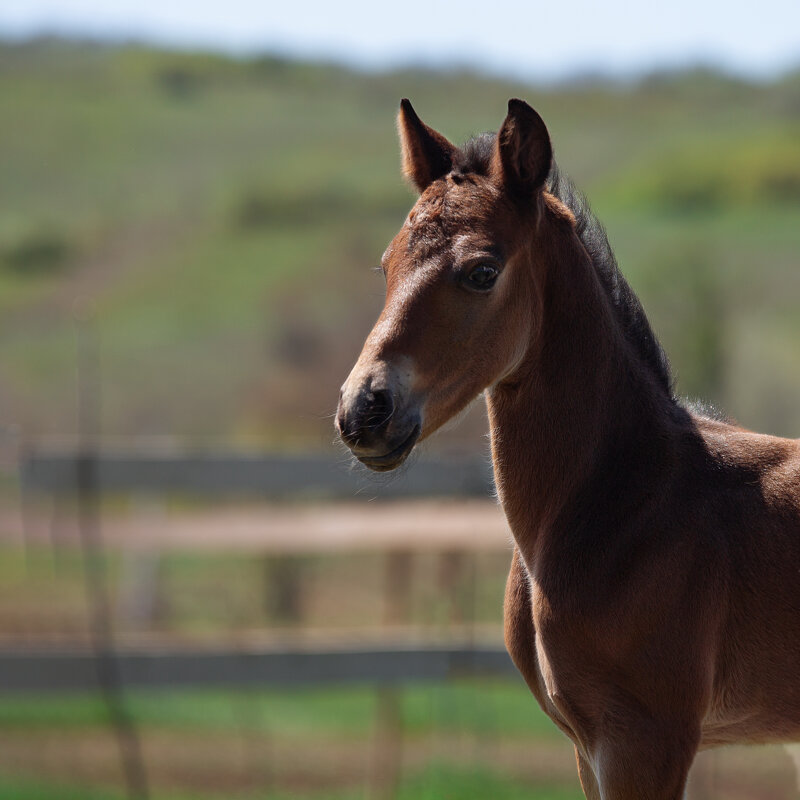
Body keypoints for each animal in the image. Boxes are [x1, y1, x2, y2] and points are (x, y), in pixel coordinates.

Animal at [334, 100, 796, 800]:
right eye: (387, 264)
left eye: (482, 272)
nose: (363, 410)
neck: (628, 501)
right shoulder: (586, 747)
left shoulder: (646, 739)